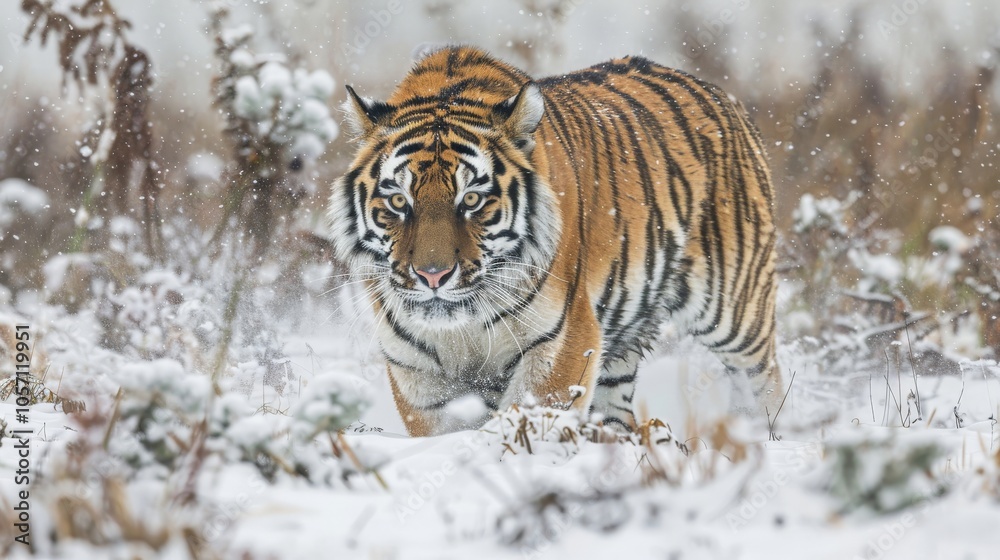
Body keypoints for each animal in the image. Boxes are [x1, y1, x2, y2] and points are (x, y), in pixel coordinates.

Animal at [328, 46, 780, 436]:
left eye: (472, 199)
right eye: (398, 201)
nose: (433, 276)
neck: (463, 325)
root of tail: (725, 96)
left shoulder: (564, 342)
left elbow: (526, 421)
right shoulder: (418, 373)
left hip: (735, 311)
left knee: (764, 378)